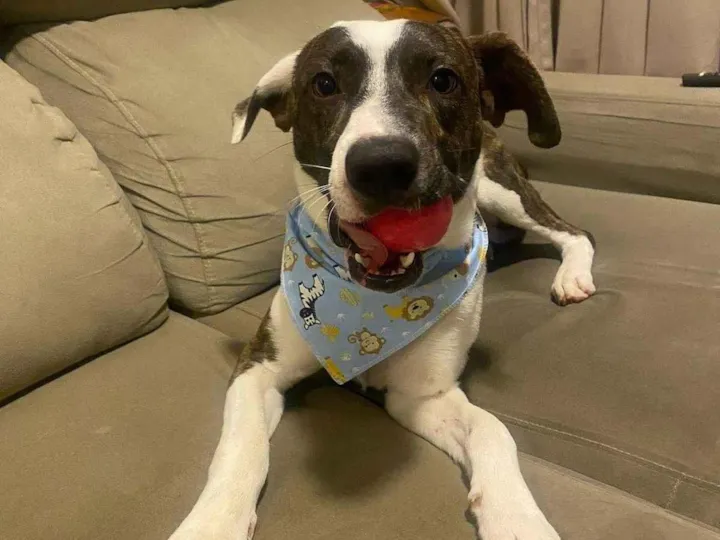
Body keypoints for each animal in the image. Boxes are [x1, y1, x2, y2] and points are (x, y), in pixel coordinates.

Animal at [169, 19, 595, 540]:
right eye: (324, 83)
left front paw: (516, 518)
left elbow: (494, 430)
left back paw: (572, 276)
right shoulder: (259, 368)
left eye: (443, 79)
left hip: (503, 192)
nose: (382, 165)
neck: (368, 307)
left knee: (573, 232)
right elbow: (240, 447)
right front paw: (214, 521)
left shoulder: (421, 394)